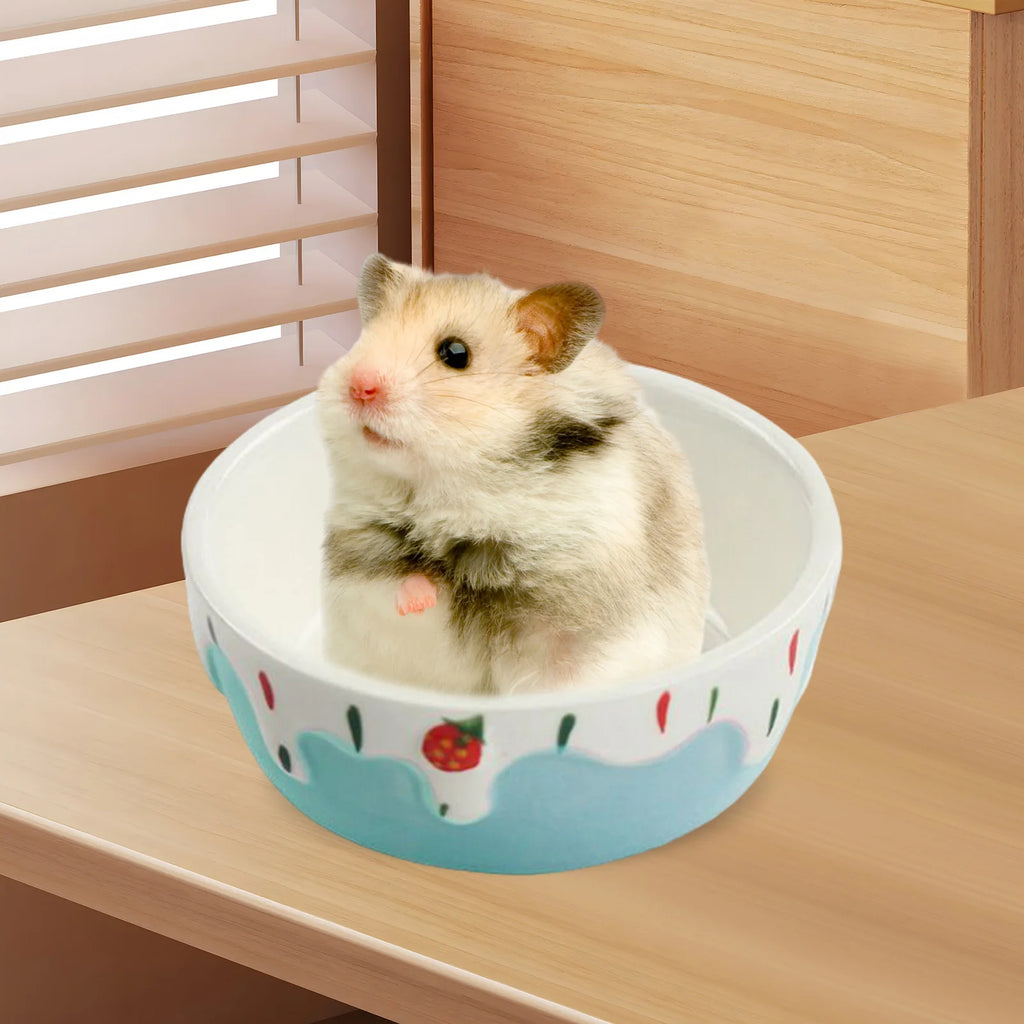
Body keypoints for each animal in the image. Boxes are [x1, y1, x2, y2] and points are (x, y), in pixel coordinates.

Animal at [314, 253, 710, 696]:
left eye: (455, 353)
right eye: (363, 338)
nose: (359, 386)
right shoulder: (362, 556)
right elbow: (402, 580)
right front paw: (418, 598)